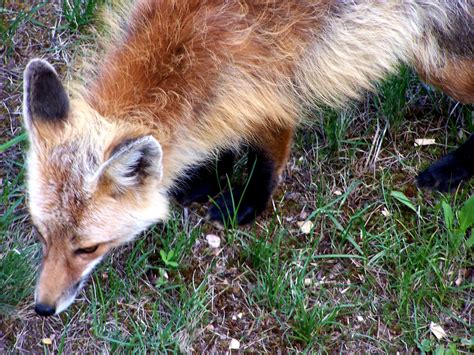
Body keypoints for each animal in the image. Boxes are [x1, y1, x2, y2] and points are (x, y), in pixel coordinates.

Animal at [25, 0, 474, 318]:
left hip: (436, 60)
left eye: (88, 248)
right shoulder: (228, 104)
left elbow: (266, 162)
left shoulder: (269, 96)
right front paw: (207, 178)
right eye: (43, 235)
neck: (184, 50)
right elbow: (220, 147)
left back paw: (452, 170)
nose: (43, 308)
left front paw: (247, 204)